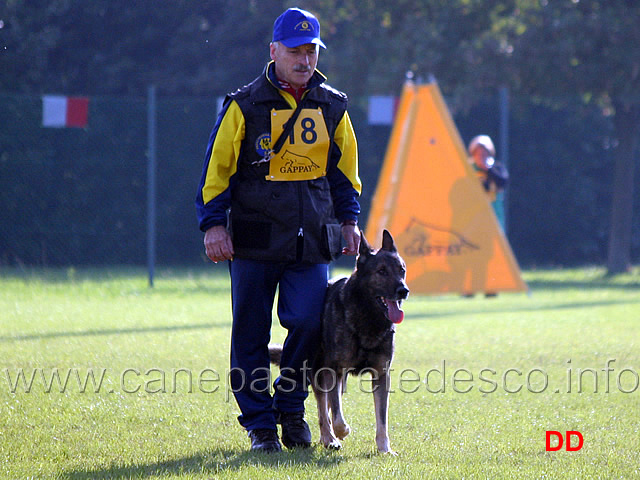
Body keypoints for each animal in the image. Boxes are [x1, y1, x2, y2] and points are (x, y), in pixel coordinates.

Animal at [268, 229, 408, 454]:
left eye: (401, 270)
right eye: (381, 271)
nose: (404, 290)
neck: (368, 318)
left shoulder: (381, 375)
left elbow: (382, 418)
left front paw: (385, 449)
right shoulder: (334, 370)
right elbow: (336, 415)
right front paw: (341, 432)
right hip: (319, 371)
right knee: (323, 408)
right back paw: (329, 438)